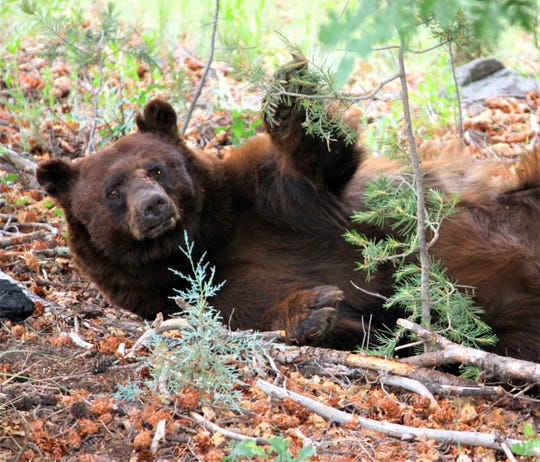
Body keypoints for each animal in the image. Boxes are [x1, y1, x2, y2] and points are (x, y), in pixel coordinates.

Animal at [37, 80, 540, 360]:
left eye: (157, 169)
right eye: (111, 192)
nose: (154, 206)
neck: (204, 242)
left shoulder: (270, 199)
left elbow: (317, 169)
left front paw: (292, 107)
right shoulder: (175, 297)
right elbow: (248, 313)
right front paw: (315, 310)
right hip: (518, 330)